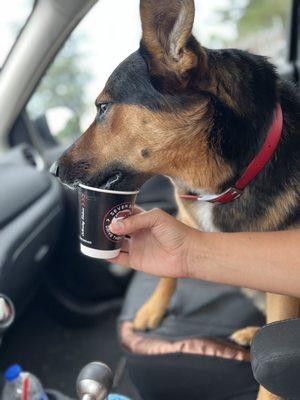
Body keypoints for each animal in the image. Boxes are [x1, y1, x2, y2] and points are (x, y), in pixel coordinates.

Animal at [54, 1, 300, 398]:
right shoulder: (183, 215)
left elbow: (271, 370)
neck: (220, 182)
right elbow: (170, 272)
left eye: (103, 108)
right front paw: (152, 309)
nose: (53, 169)